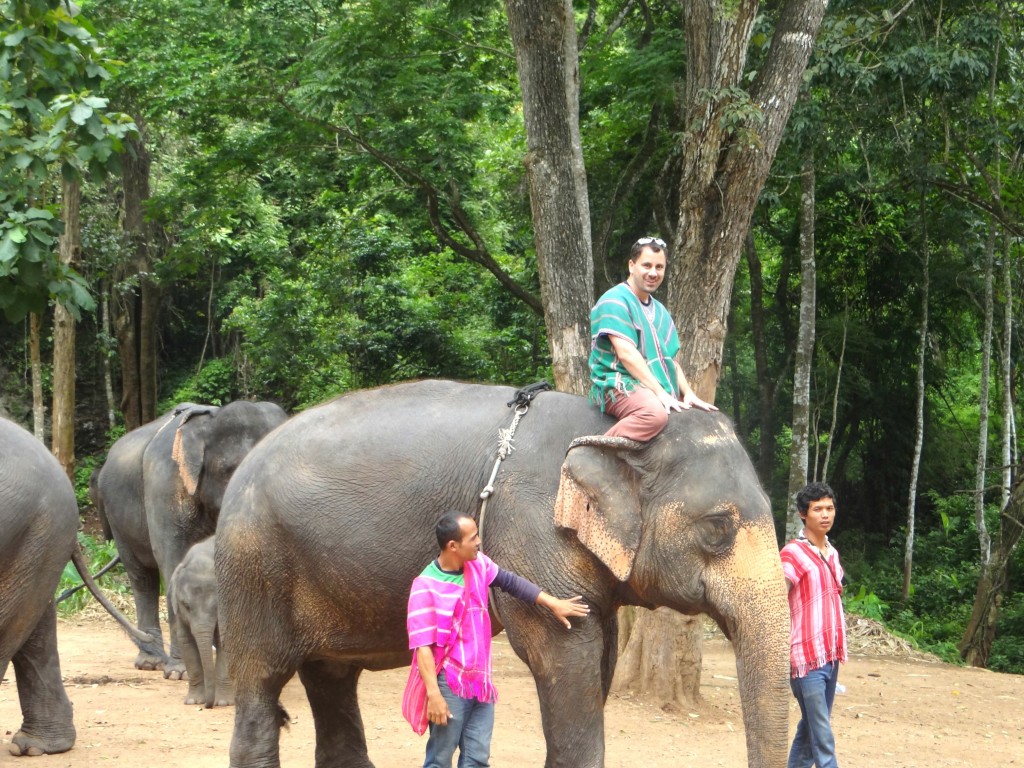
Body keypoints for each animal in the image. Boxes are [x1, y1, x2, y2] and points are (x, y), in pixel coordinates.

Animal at [95, 399, 288, 675]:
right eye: (231, 469)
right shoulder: (164, 487)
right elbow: (173, 560)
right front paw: (181, 672)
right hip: (117, 518)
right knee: (142, 577)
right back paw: (152, 662)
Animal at [167, 536, 232, 708]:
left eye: (216, 606)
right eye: (186, 605)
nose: (208, 706)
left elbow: (223, 641)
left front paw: (223, 703)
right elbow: (186, 642)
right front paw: (193, 701)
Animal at [218, 380, 790, 768]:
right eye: (718, 528)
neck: (609, 432)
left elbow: (597, 663)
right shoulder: (531, 528)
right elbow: (565, 660)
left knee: (332, 680)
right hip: (254, 565)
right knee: (261, 682)